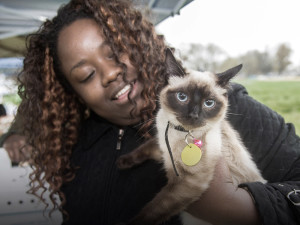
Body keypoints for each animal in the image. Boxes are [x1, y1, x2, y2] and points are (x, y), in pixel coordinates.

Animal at [116, 49, 266, 225]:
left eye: (209, 103)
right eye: (182, 97)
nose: (194, 115)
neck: (181, 133)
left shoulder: (189, 182)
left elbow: (153, 209)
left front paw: (130, 222)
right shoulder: (164, 148)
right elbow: (146, 147)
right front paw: (123, 162)